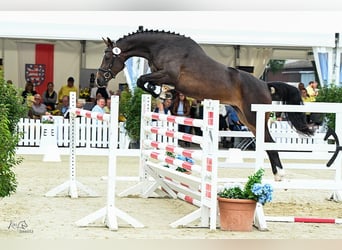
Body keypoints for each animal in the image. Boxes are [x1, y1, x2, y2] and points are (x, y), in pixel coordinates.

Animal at [95, 29, 312, 181]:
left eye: (108, 56)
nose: (99, 80)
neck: (161, 47)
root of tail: (265, 85)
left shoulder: (169, 75)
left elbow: (142, 80)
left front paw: (161, 92)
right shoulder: (162, 75)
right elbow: (144, 82)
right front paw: (164, 93)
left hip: (253, 116)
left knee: (269, 142)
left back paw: (279, 174)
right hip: (246, 119)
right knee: (264, 142)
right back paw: (275, 173)